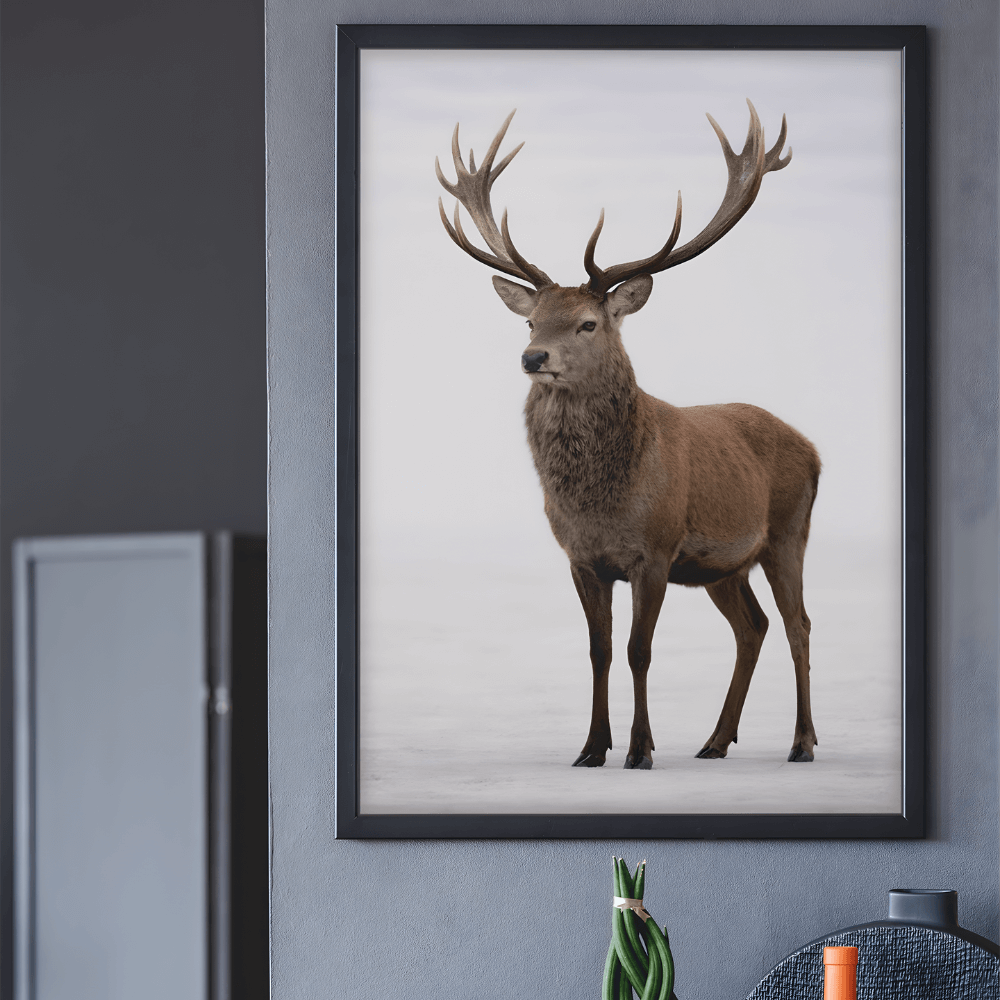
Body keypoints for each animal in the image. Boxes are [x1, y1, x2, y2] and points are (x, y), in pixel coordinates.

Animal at [435, 104, 820, 770]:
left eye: (588, 323)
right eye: (532, 321)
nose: (533, 358)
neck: (601, 501)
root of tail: (815, 448)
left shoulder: (656, 550)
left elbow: (641, 650)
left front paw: (640, 749)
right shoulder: (581, 558)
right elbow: (601, 651)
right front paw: (592, 748)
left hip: (788, 531)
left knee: (799, 624)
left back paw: (802, 742)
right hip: (724, 566)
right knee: (753, 626)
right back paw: (715, 740)